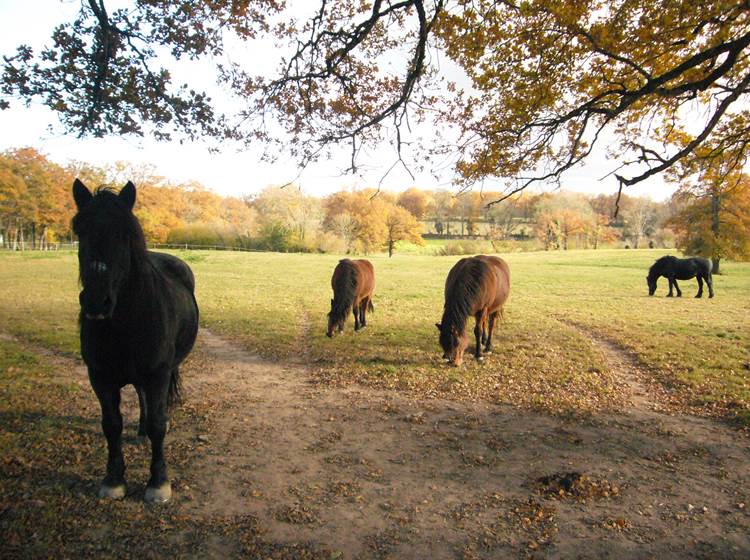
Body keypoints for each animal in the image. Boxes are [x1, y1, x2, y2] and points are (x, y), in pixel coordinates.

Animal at [71, 178, 198, 504]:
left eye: (124, 233)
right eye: (80, 231)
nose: (96, 302)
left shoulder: (158, 375)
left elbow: (157, 425)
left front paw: (158, 483)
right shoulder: (99, 377)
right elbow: (111, 425)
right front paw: (114, 480)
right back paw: (139, 431)